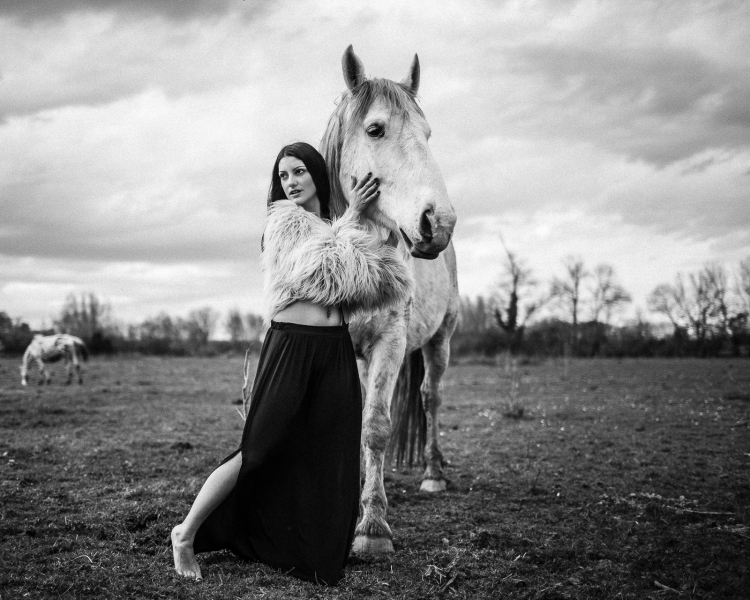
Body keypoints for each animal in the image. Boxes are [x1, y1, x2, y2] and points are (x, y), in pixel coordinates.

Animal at [322, 44, 462, 556]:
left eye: (428, 134)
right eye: (375, 129)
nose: (438, 222)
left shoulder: (391, 342)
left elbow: (377, 427)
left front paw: (372, 528)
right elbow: (355, 422)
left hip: (439, 341)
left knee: (430, 398)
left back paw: (433, 475)